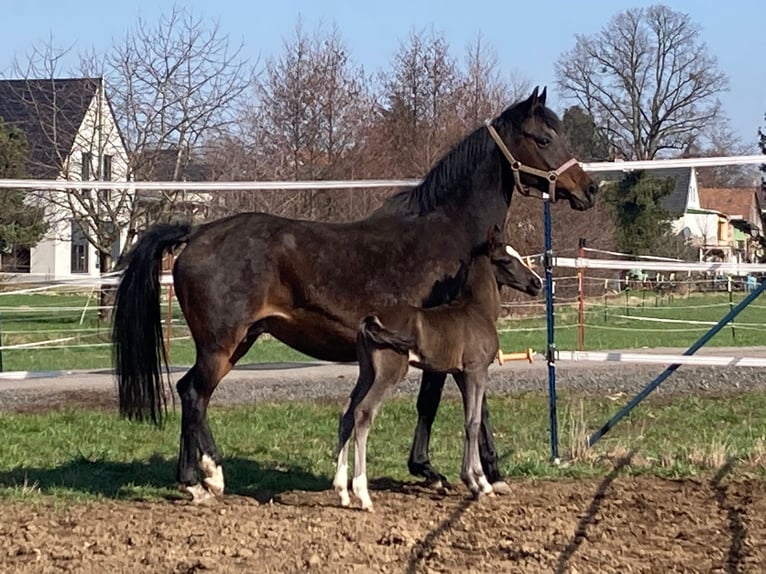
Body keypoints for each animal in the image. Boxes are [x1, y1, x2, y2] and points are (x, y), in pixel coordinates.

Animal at [332, 231, 544, 512]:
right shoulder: (476, 371)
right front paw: (479, 484)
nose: (537, 283)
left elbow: (472, 419)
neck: (477, 310)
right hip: (389, 373)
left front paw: (477, 482)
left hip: (367, 372)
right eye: (506, 260)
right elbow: (473, 422)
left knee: (346, 412)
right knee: (363, 413)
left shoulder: (460, 373)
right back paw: (363, 495)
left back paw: (342, 492)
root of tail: (371, 319)